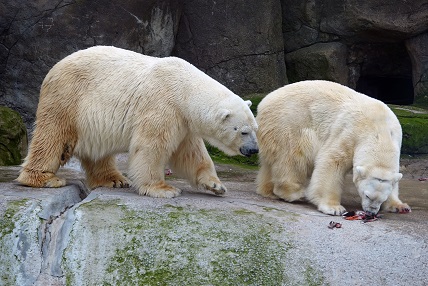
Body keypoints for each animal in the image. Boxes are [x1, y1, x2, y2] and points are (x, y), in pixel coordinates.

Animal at [15, 46, 258, 199]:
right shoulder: (163, 105)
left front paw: (216, 185)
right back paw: (44, 179)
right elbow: (151, 146)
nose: (254, 149)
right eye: (243, 131)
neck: (185, 88)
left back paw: (114, 179)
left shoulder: (184, 121)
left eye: (255, 128)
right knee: (53, 135)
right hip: (67, 98)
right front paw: (163, 189)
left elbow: (191, 153)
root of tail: (54, 68)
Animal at [256, 79, 410, 216]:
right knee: (293, 157)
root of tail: (263, 103)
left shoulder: (396, 137)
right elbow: (332, 161)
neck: (381, 131)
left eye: (382, 199)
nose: (370, 212)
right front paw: (334, 208)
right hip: (289, 123)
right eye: (367, 195)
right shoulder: (350, 132)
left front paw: (400, 206)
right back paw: (294, 192)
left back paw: (267, 190)